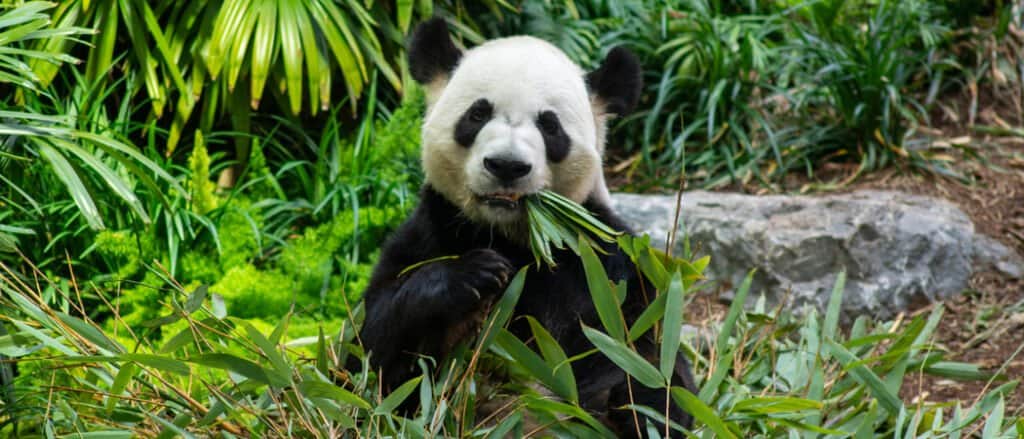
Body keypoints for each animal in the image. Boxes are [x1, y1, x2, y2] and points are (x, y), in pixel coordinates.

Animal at [358, 17, 696, 433]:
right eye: (477, 114)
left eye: (550, 126)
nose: (507, 165)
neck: (514, 236)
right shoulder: (431, 232)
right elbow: (371, 351)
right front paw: (475, 273)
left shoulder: (606, 265)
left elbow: (645, 354)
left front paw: (638, 398)